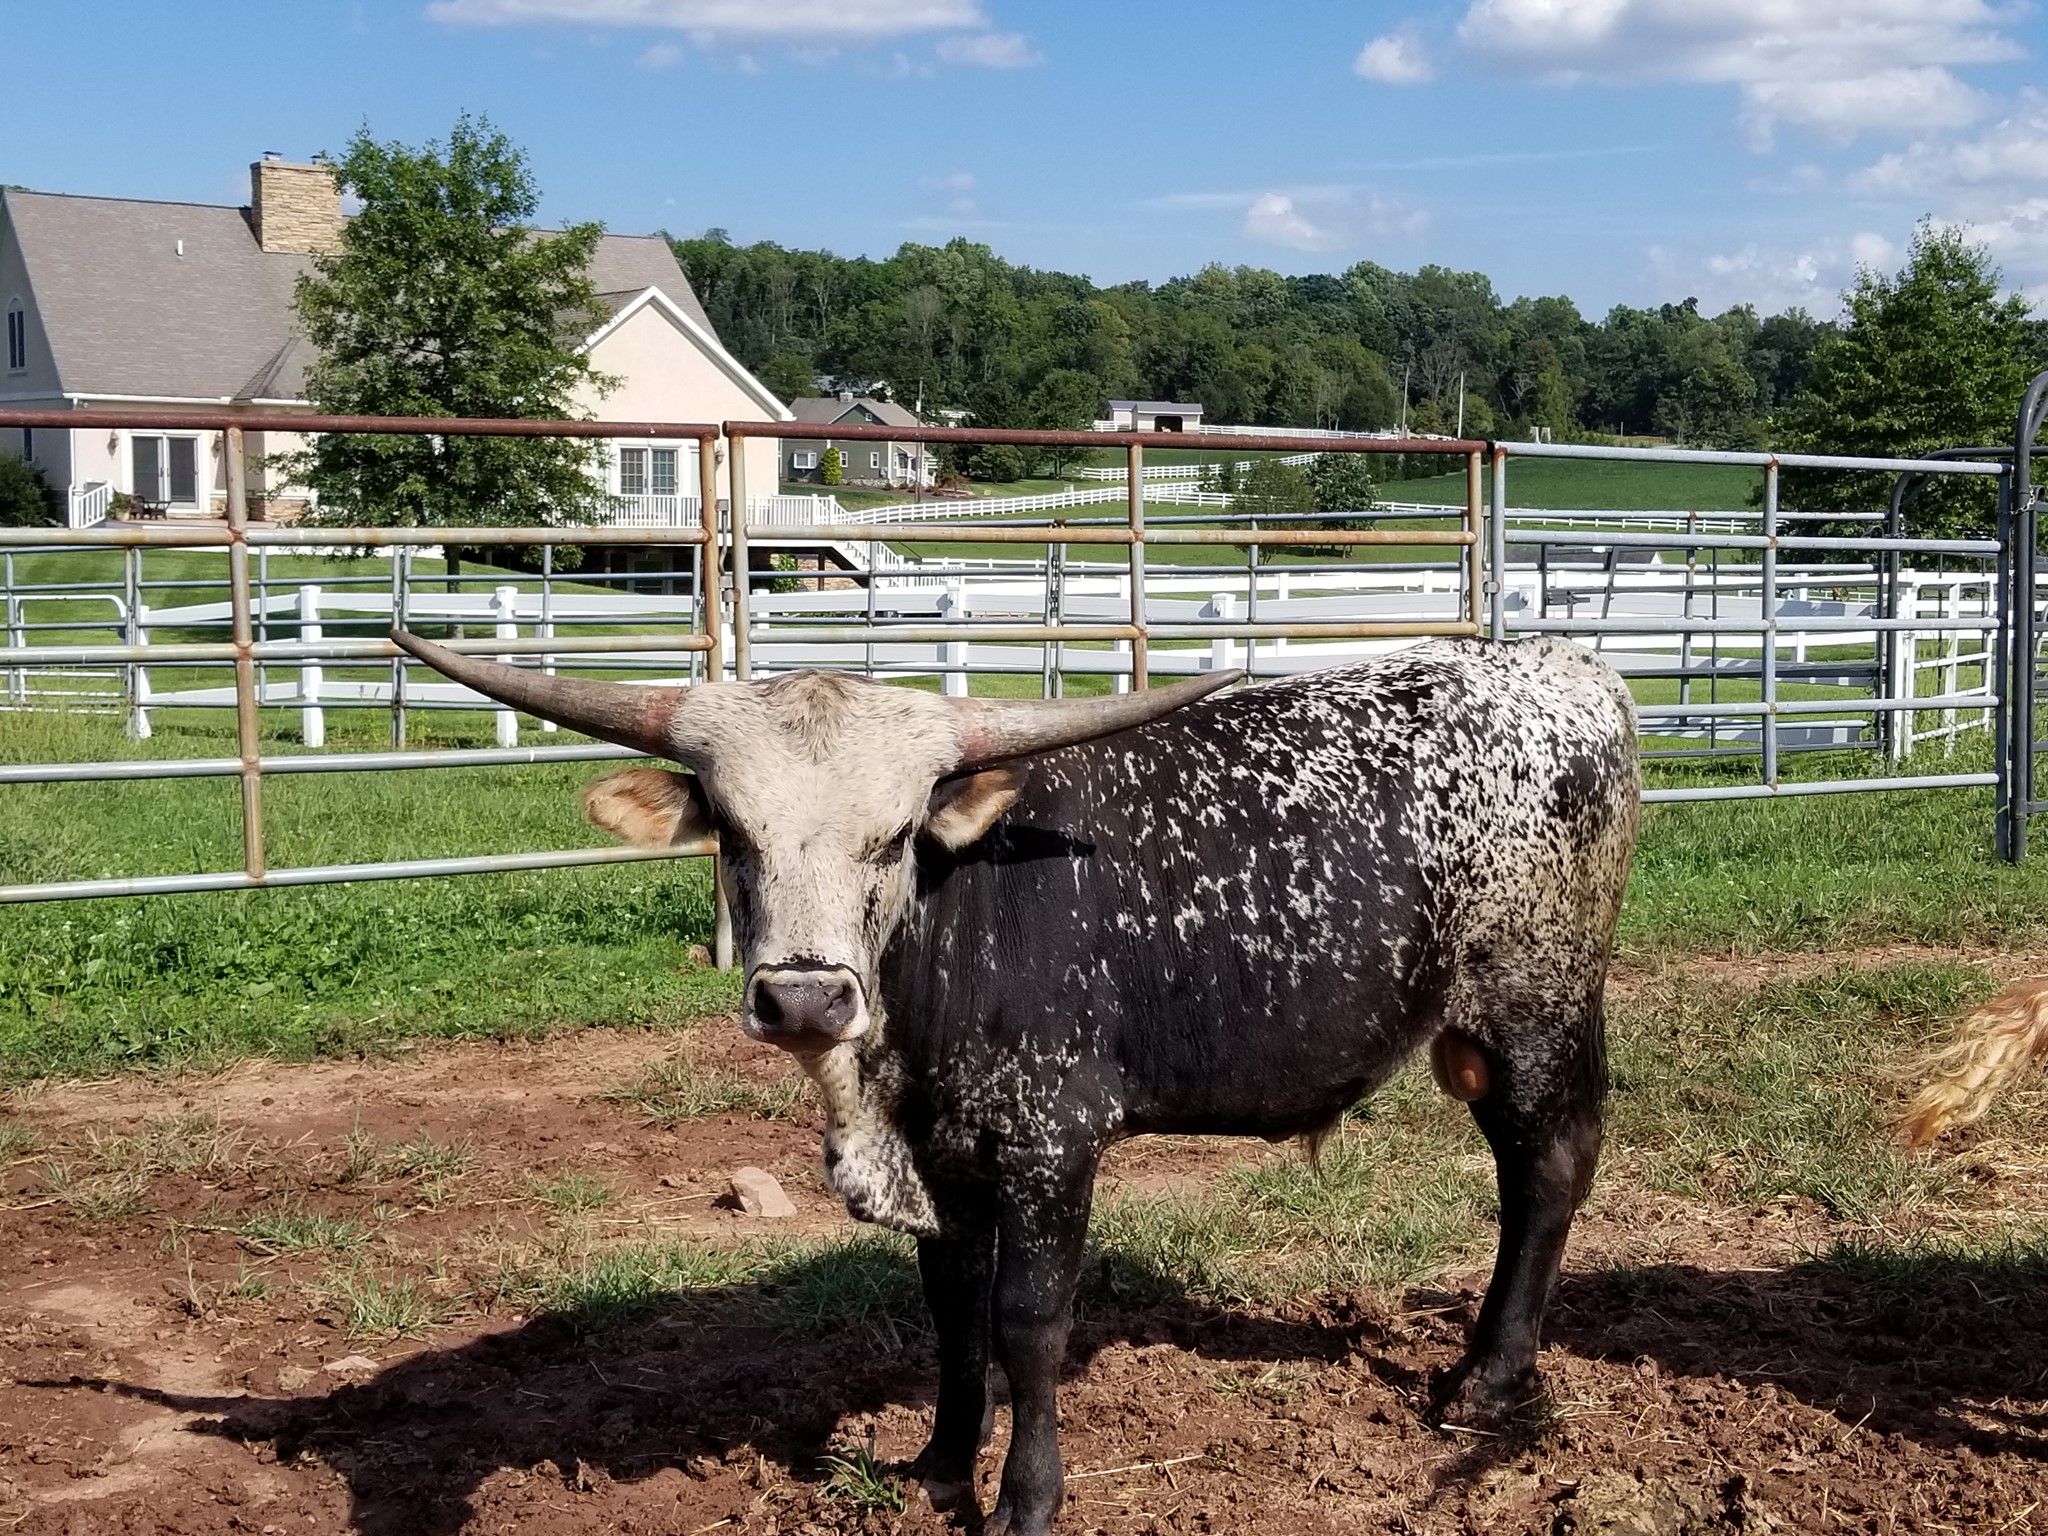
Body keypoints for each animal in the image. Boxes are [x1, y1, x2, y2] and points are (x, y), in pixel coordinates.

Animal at [392, 630, 1640, 1536]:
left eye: (895, 836)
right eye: (735, 836)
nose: (804, 1000)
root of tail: (1565, 671)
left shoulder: (1050, 1140)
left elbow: (1028, 1322)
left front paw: (1023, 1501)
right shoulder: (943, 1153)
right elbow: (953, 1315)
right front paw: (943, 1464)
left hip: (1534, 1006)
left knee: (1546, 1171)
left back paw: (1487, 1381)